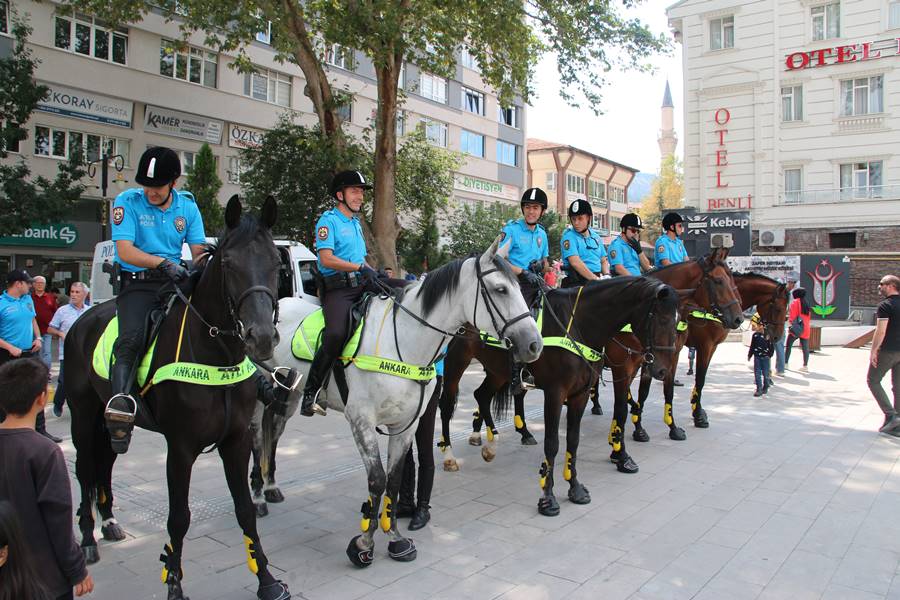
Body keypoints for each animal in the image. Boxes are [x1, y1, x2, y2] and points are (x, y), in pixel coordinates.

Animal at [63, 197, 288, 600]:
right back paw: (88, 539)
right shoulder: (180, 447)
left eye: (276, 265)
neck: (216, 354)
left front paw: (267, 579)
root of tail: (84, 318)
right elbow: (179, 518)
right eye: (228, 264)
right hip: (82, 417)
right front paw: (174, 584)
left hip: (111, 426)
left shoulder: (235, 440)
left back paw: (110, 522)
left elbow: (245, 509)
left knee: (105, 465)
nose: (261, 338)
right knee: (86, 469)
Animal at [260, 240, 540, 568]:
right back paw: (259, 493)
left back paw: (269, 487)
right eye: (500, 289)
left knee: (273, 428)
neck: (404, 342)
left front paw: (395, 539)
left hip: (288, 391)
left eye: (519, 288)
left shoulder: (405, 424)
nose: (534, 344)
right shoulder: (361, 421)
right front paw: (363, 545)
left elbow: (393, 479)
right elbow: (377, 479)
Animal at [440, 276, 680, 516]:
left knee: (481, 395)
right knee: (446, 406)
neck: (579, 325)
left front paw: (575, 488)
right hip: (455, 364)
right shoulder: (556, 393)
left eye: (677, 323)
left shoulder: (580, 394)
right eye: (661, 319)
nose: (663, 370)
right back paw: (449, 456)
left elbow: (573, 440)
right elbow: (552, 442)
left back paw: (491, 445)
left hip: (497, 371)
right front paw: (547, 497)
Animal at [628, 272, 792, 440]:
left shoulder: (711, 347)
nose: (778, 337)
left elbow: (700, 380)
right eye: (778, 308)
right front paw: (698, 415)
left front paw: (698, 411)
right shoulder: (705, 346)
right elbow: (699, 379)